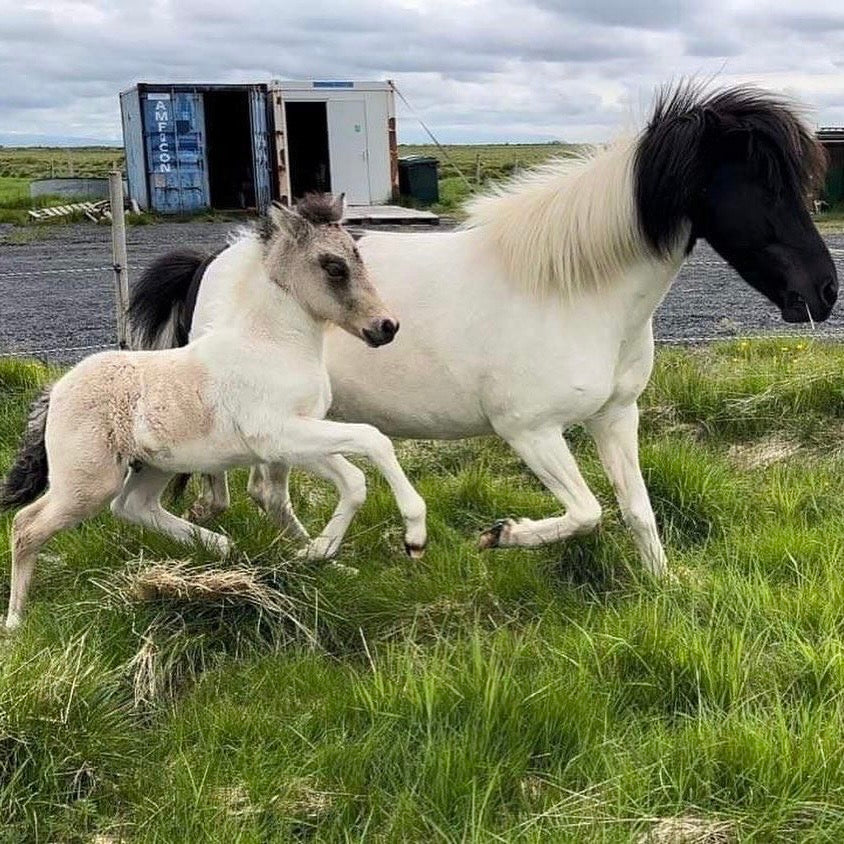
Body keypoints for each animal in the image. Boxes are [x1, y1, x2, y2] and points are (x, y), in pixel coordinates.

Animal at [0, 195, 427, 631]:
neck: (271, 346)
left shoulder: (294, 440)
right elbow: (373, 440)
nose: (386, 327)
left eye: (358, 258)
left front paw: (318, 555)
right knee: (26, 525)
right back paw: (15, 621)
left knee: (132, 505)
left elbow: (353, 481)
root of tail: (57, 389)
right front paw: (414, 537)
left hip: (156, 466)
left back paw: (218, 545)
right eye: (334, 266)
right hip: (86, 483)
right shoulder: (280, 434)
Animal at [126, 83, 838, 577]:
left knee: (264, 495)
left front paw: (664, 591)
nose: (825, 292)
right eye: (763, 185)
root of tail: (217, 261)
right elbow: (587, 512)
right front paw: (502, 536)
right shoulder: (531, 431)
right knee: (250, 494)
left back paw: (316, 561)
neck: (574, 291)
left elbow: (638, 511)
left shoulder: (616, 416)